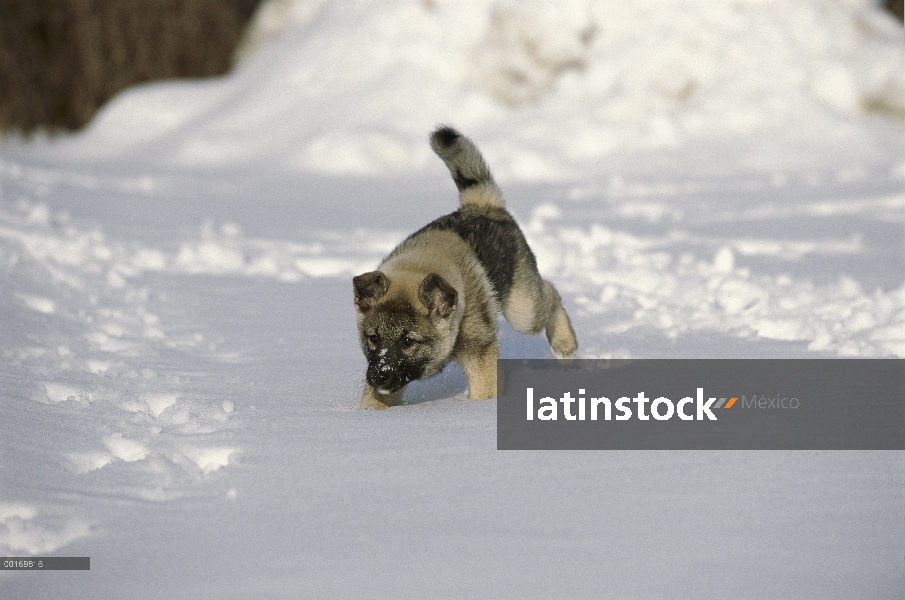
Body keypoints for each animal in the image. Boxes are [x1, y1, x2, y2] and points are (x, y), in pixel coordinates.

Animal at [354, 126, 580, 408]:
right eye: (373, 338)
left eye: (407, 341)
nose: (378, 376)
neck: (418, 266)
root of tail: (482, 205)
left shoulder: (480, 353)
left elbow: (484, 391)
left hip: (523, 310)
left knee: (550, 293)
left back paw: (565, 344)